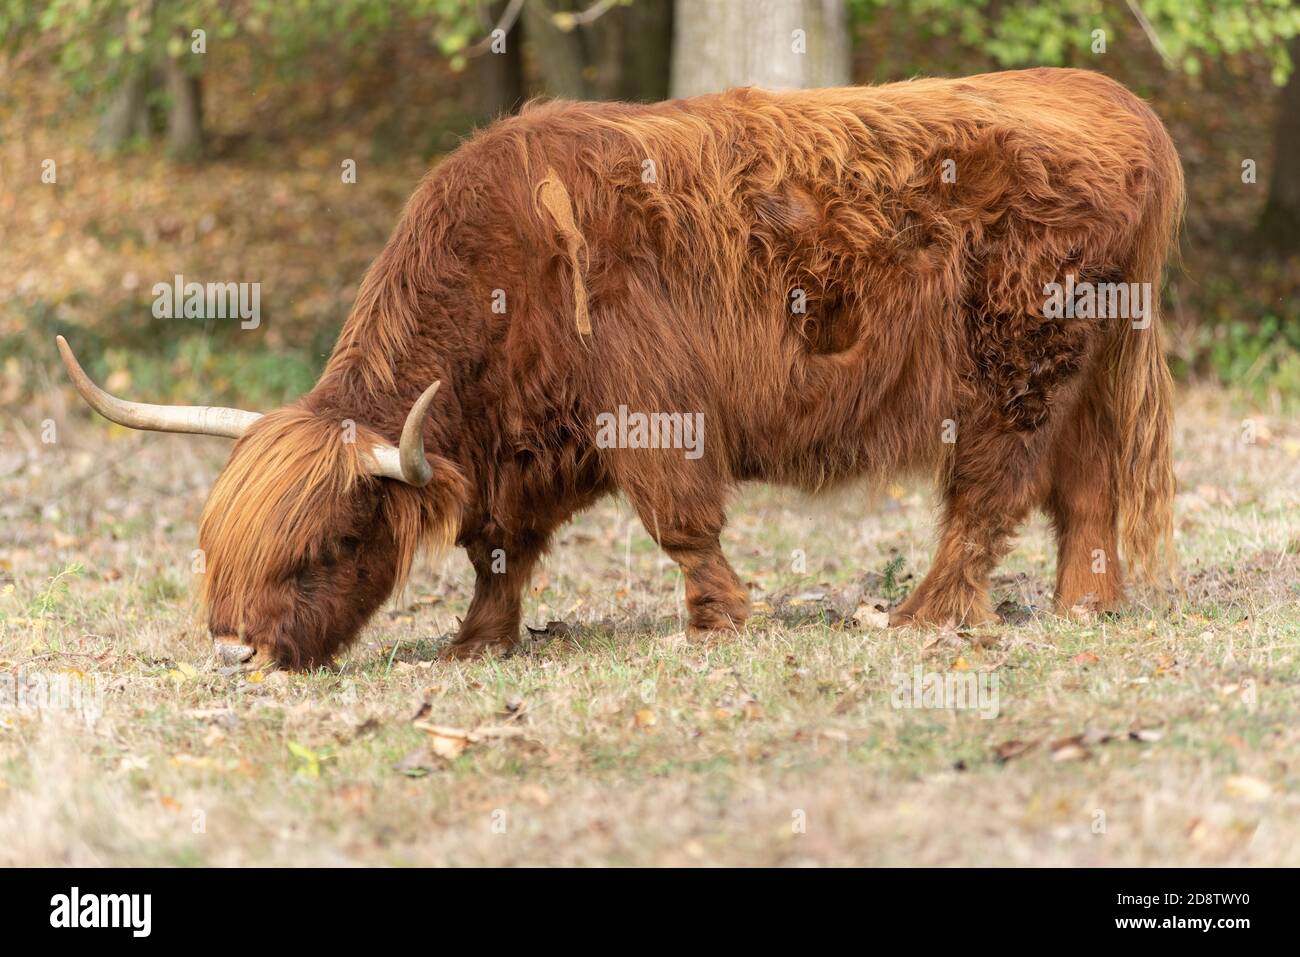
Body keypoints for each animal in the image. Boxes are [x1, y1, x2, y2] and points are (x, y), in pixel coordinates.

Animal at [58, 68, 1182, 669]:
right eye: (215, 549)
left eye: (328, 547)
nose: (232, 651)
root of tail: (1111, 98)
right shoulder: (511, 446)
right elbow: (496, 547)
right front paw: (477, 641)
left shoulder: (652, 409)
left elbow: (681, 522)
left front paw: (717, 622)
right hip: (1088, 363)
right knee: (1085, 488)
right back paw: (1084, 604)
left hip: (1014, 363)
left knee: (993, 488)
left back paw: (921, 613)